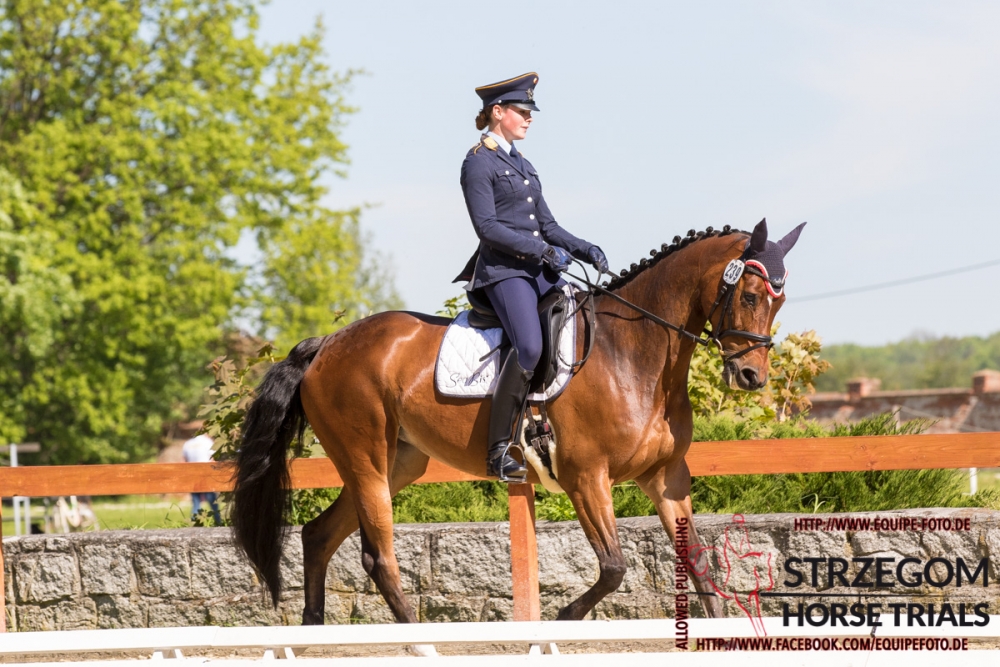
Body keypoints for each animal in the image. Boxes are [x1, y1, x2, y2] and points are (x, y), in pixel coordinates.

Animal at [230, 219, 803, 625]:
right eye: (750, 295)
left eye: (779, 303)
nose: (751, 376)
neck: (633, 353)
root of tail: (327, 344)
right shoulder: (586, 476)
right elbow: (614, 567)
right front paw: (565, 617)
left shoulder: (666, 477)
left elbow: (700, 565)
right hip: (366, 459)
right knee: (379, 557)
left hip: (398, 463)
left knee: (318, 536)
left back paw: (314, 628)